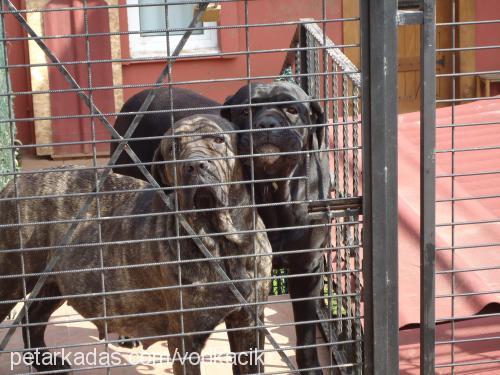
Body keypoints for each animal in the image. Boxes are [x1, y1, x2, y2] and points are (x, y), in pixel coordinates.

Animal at [0, 114, 272, 375]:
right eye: (173, 148)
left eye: (218, 140)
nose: (195, 165)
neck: (221, 241)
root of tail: (13, 184)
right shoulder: (186, 338)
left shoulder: (249, 323)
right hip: (12, 280)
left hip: (54, 282)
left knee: (32, 318)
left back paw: (45, 363)